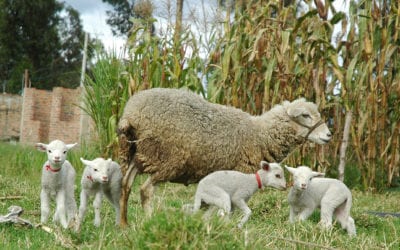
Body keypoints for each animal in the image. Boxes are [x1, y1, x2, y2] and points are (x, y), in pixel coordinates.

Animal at [117, 88, 332, 227]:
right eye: (305, 115)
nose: (329, 135)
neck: (260, 135)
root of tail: (131, 114)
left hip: (138, 154)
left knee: (126, 184)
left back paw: (124, 224)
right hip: (165, 158)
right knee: (145, 190)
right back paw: (149, 221)